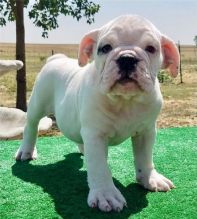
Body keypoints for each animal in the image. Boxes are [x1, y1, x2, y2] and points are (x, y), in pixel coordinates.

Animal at [15, 15, 179, 212]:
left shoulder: (146, 132)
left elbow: (145, 157)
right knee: (31, 127)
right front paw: (106, 194)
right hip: (37, 104)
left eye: (151, 49)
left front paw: (149, 178)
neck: (126, 100)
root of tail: (56, 59)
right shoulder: (96, 135)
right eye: (105, 48)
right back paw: (26, 151)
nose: (127, 58)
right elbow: (100, 167)